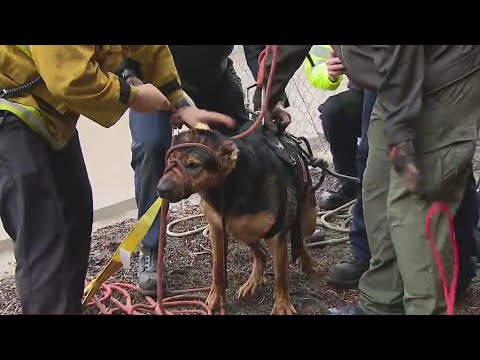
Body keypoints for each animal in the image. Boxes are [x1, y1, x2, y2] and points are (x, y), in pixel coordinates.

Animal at [157, 124, 322, 316]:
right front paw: (216, 296)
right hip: (241, 230)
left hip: (307, 220)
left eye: (194, 165)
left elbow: (281, 276)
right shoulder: (217, 230)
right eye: (170, 161)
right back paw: (253, 281)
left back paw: (307, 262)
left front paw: (282, 305)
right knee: (261, 254)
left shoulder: (276, 235)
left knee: (300, 239)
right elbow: (217, 269)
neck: (229, 188)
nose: (160, 189)